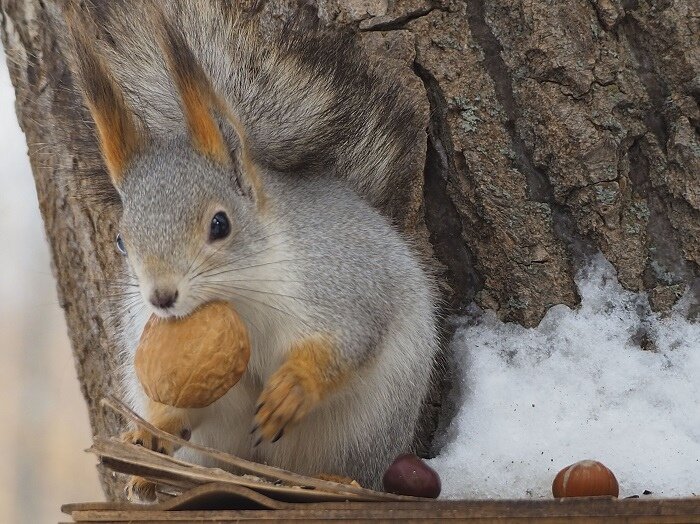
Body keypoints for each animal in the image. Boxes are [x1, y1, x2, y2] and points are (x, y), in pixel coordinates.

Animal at [64, 0, 438, 498]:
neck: (237, 297)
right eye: (122, 240)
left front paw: (293, 390)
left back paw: (334, 480)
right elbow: (185, 405)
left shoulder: (344, 286)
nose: (161, 298)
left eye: (220, 224)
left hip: (367, 428)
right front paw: (153, 428)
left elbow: (346, 343)